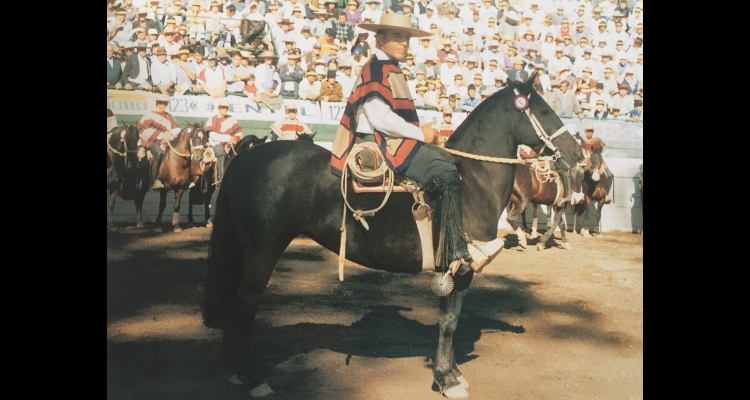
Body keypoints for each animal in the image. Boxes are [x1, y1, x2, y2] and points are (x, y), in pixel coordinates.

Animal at [203, 73, 584, 398]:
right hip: (262, 251)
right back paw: (254, 378)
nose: (577, 153)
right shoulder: (460, 269)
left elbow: (451, 320)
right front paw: (447, 379)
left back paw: (233, 371)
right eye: (545, 110)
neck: (471, 181)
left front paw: (451, 374)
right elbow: (450, 321)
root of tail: (249, 155)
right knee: (245, 306)